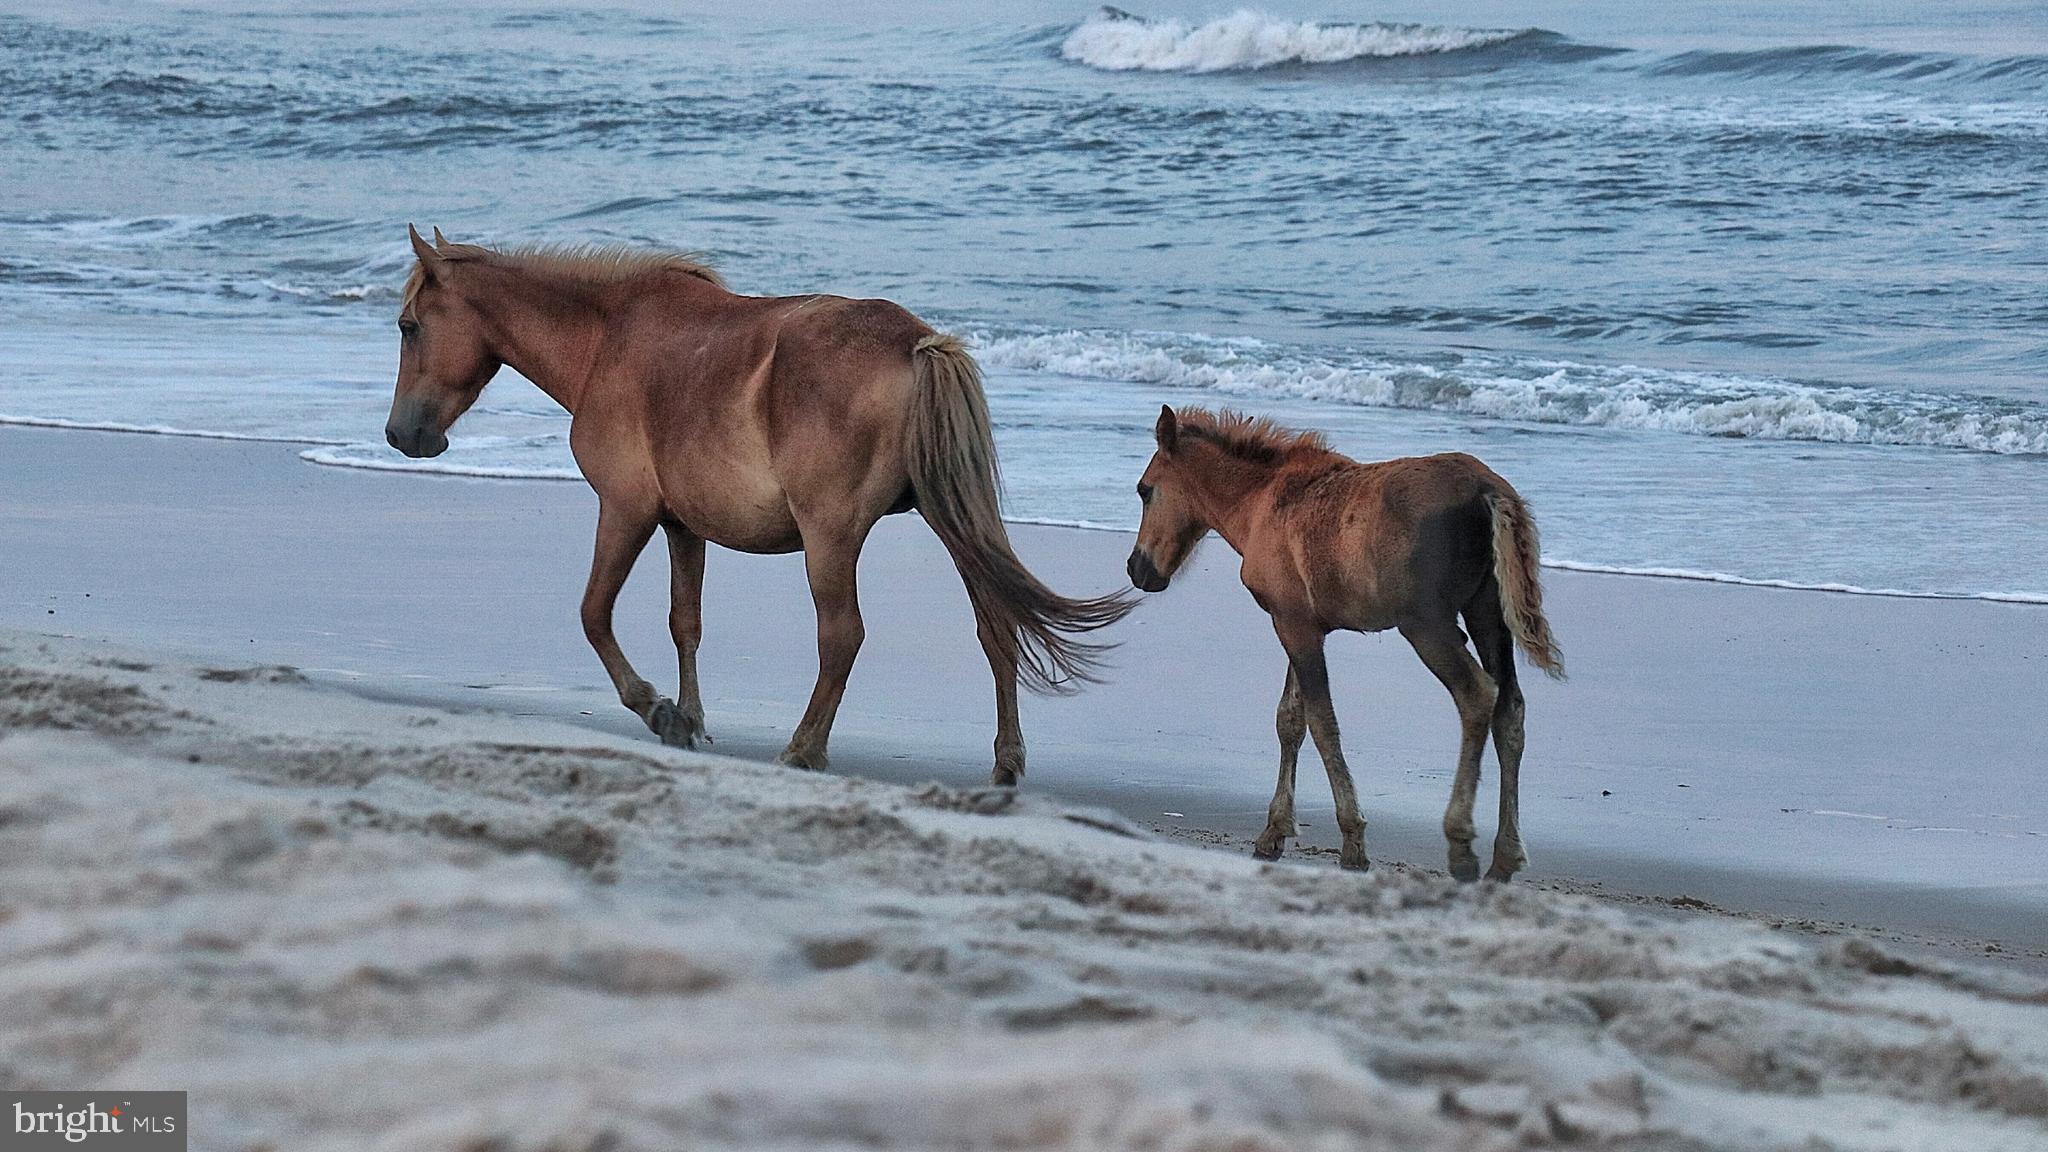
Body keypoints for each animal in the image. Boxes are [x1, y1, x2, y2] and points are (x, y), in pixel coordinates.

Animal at [385, 226, 1131, 784]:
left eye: (409, 326)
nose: (401, 435)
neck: (606, 339)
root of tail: (917, 343)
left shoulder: (625, 509)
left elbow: (595, 615)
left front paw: (655, 708)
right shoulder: (681, 526)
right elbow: (685, 622)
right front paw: (688, 719)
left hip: (831, 537)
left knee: (843, 635)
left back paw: (805, 748)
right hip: (950, 520)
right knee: (996, 625)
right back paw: (1005, 762)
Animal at [1126, 406, 1563, 881]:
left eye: (1145, 490)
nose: (1137, 569)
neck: (1256, 504)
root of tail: (1489, 491)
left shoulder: (1293, 625)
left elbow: (1322, 725)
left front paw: (1353, 840)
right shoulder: (1299, 621)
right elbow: (1290, 720)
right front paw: (1273, 831)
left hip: (1427, 624)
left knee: (1477, 694)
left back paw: (1462, 844)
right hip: (1488, 614)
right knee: (1511, 709)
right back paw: (1506, 856)